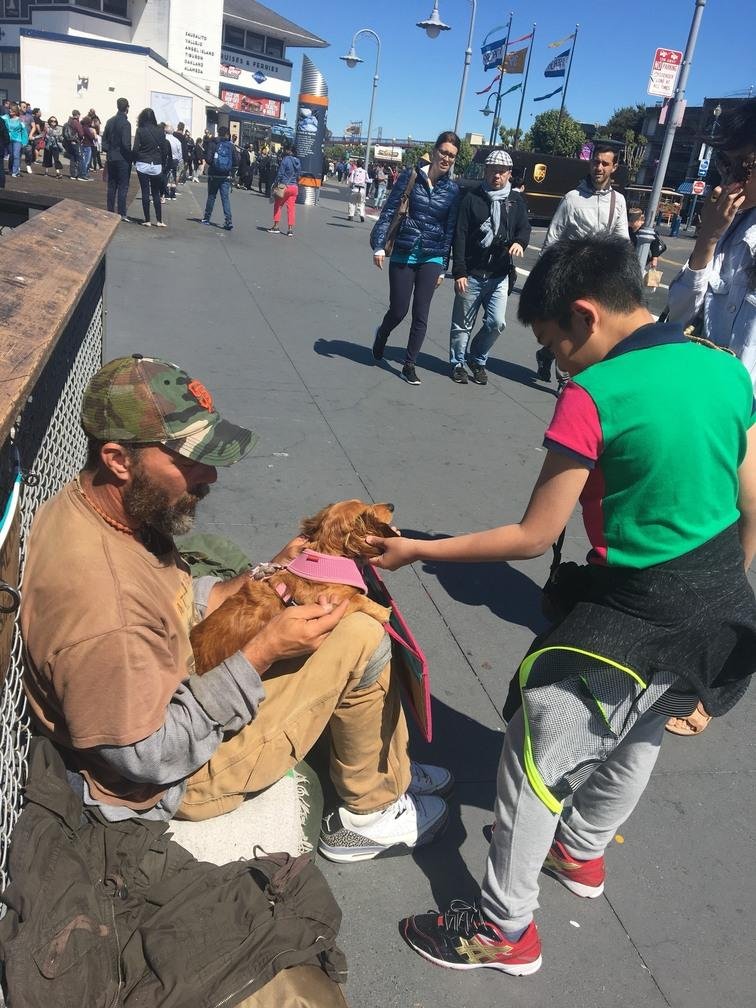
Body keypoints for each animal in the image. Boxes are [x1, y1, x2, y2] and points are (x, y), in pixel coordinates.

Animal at [192, 497, 399, 673]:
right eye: (368, 511)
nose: (391, 505)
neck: (326, 557)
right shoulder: (334, 603)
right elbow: (361, 600)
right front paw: (384, 612)